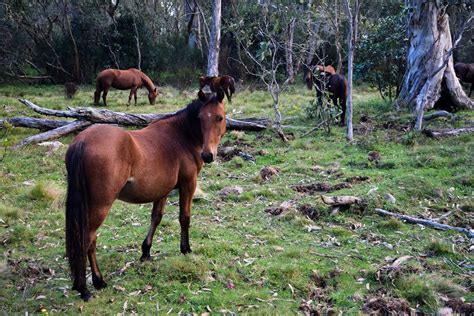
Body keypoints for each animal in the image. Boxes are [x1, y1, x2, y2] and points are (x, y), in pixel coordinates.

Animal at [65, 89, 227, 302]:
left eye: (219, 117)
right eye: (200, 118)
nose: (207, 155)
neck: (181, 136)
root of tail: (83, 140)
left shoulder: (163, 190)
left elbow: (156, 218)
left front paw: (146, 252)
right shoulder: (188, 184)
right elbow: (184, 218)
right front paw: (186, 249)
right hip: (99, 206)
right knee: (88, 239)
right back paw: (88, 286)